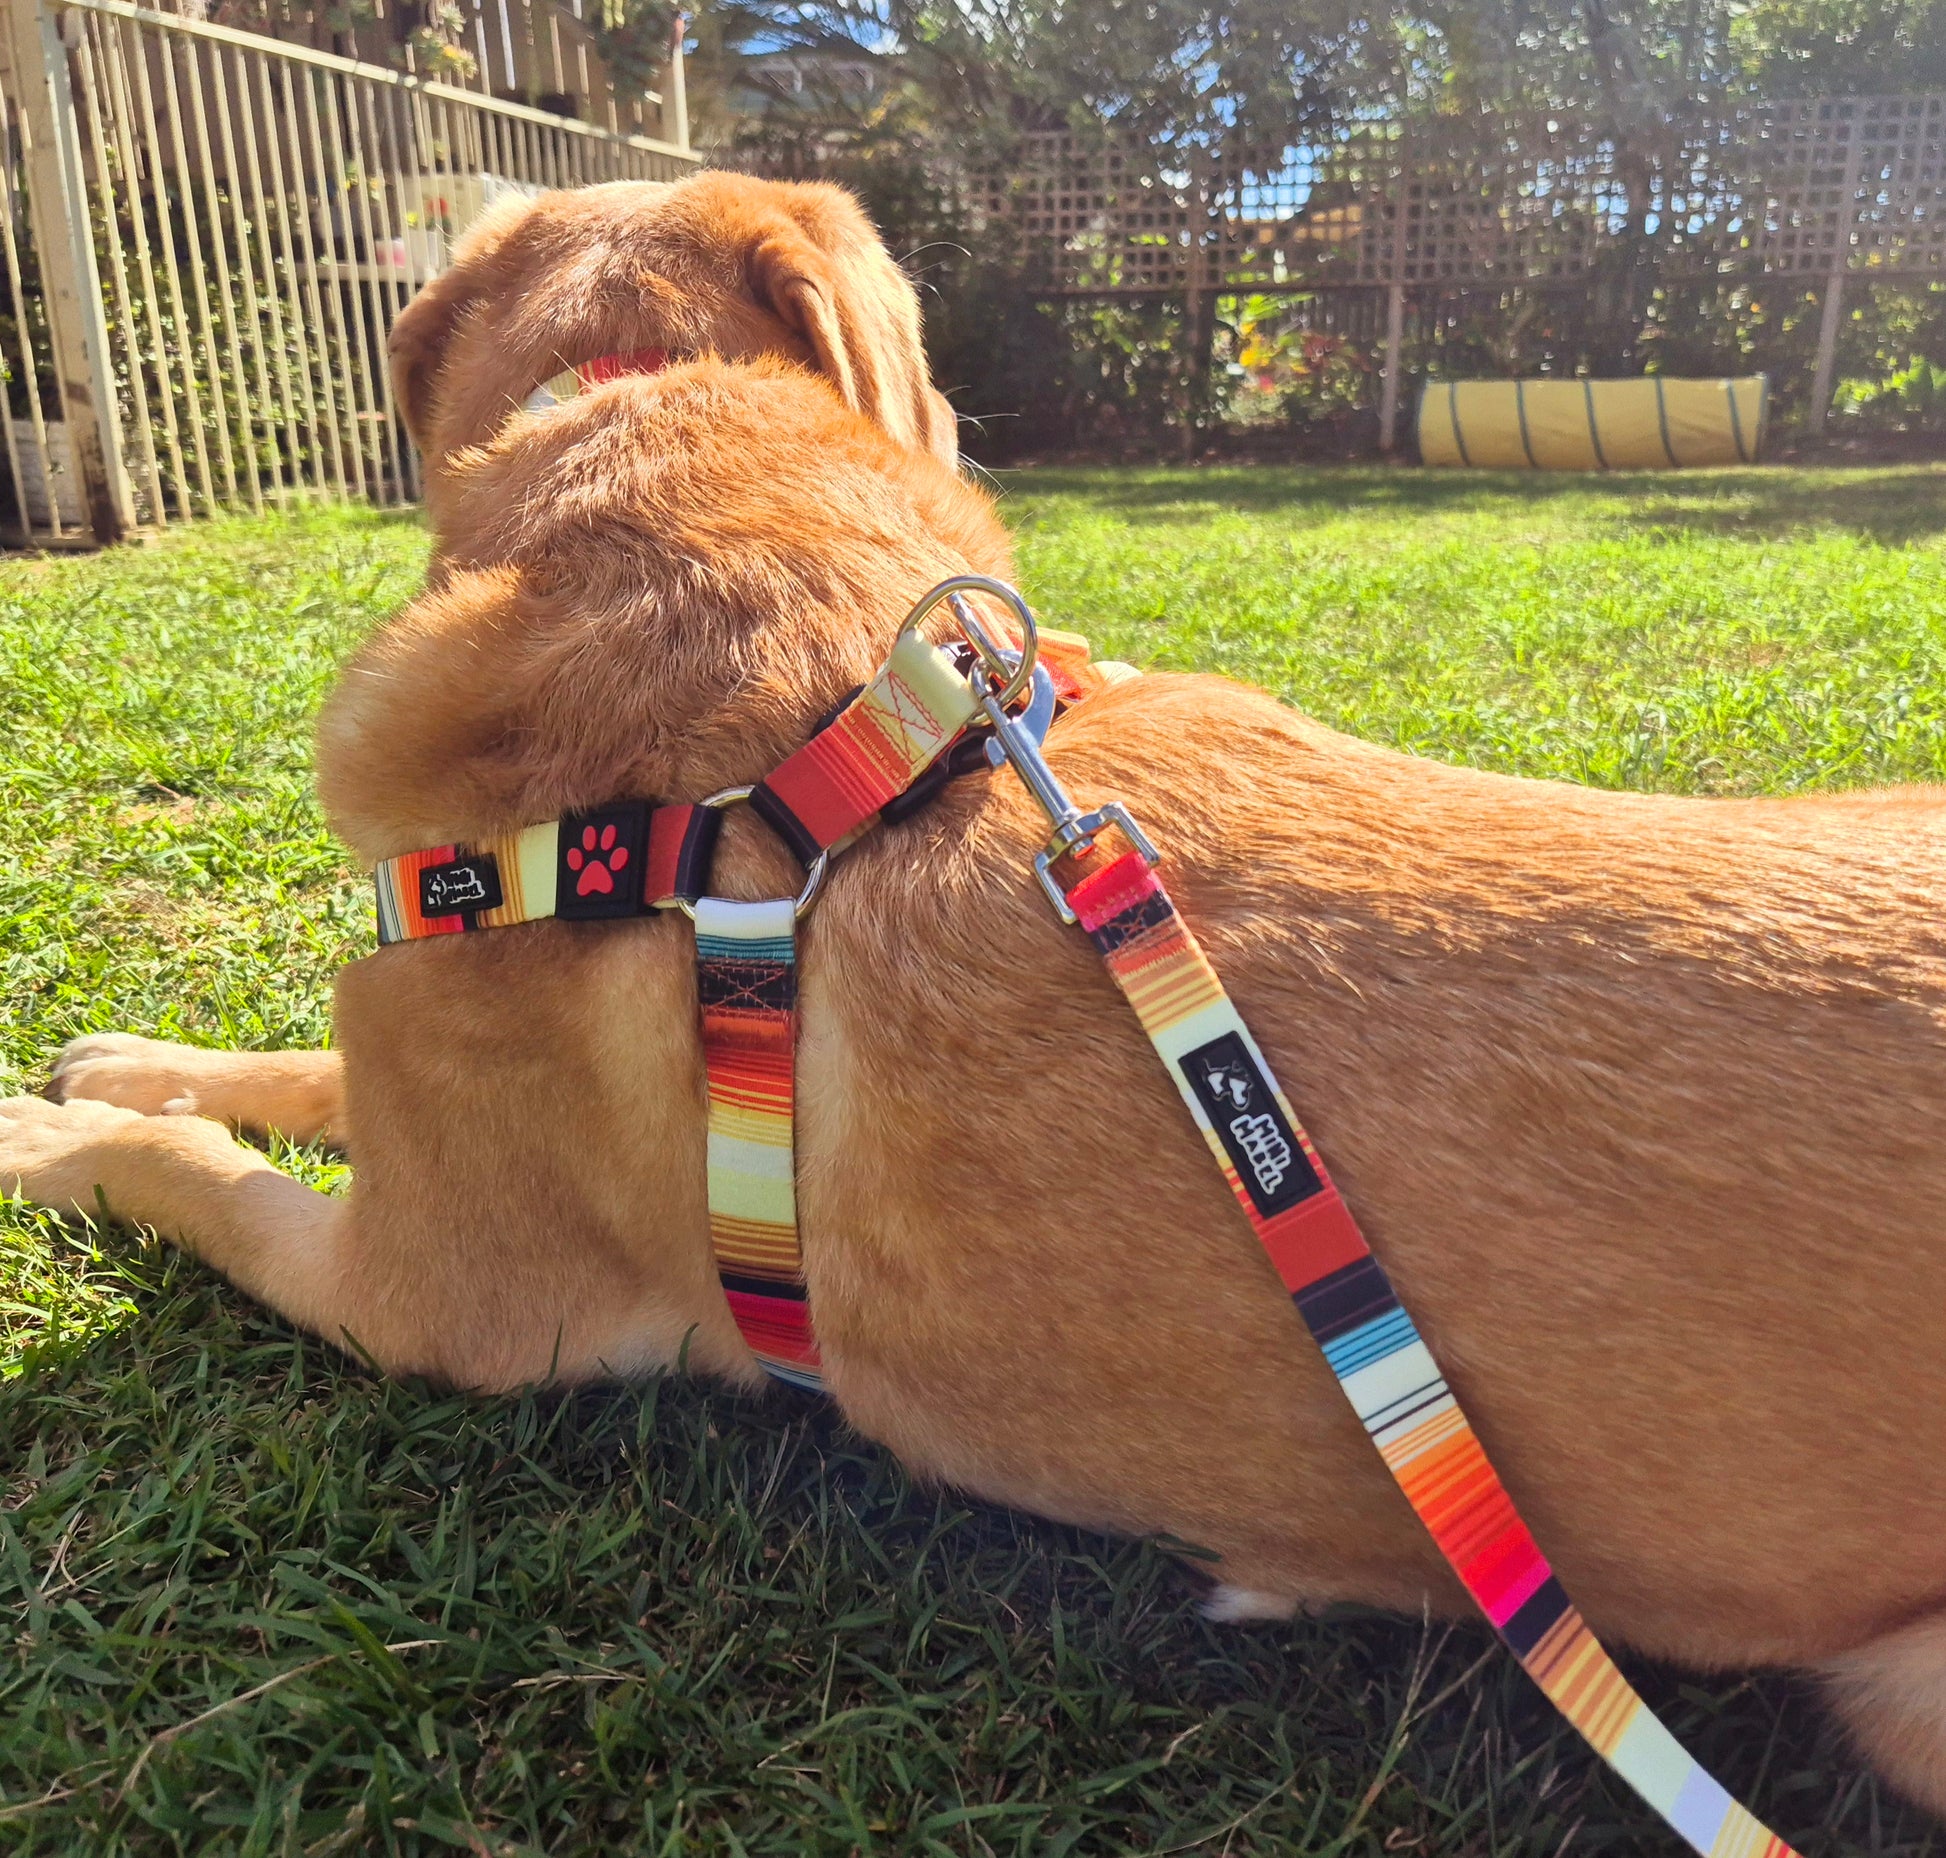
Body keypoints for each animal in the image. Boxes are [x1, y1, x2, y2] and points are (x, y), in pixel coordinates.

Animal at [11, 359, 1946, 1813]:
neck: (805, 765)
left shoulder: (432, 1294)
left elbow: (200, 1173)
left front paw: (62, 1128)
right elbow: (299, 1073)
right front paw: (140, 1060)